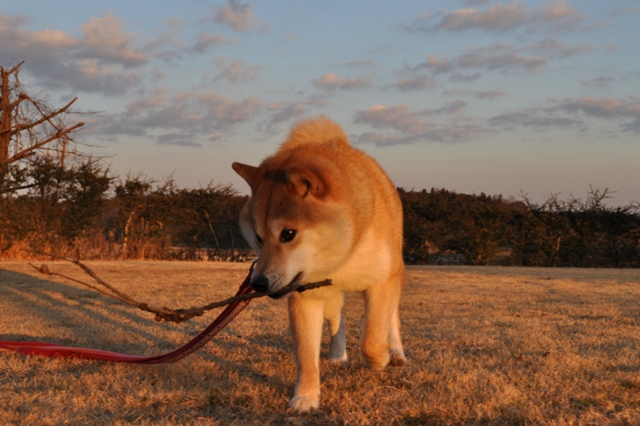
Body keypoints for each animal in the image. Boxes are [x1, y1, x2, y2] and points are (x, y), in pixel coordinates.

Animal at [234, 116, 404, 412]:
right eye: (258, 238)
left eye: (288, 234)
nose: (257, 283)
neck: (343, 255)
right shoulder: (305, 298)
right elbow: (305, 356)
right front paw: (306, 397)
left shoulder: (382, 282)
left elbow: (372, 339)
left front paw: (381, 359)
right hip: (330, 296)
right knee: (338, 321)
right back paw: (337, 354)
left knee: (391, 318)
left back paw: (395, 352)